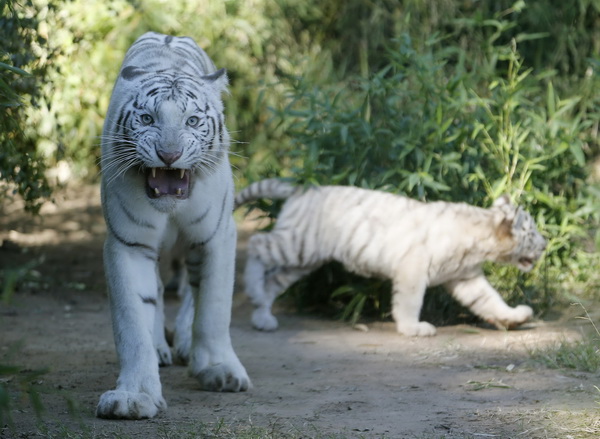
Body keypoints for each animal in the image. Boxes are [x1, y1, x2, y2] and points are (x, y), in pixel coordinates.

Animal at [98, 32, 248, 422]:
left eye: (193, 121)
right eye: (147, 118)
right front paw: (134, 397)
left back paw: (183, 344)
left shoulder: (216, 237)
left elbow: (213, 308)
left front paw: (219, 370)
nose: (169, 155)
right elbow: (133, 321)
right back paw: (161, 350)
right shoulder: (128, 243)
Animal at [237, 179, 548, 336]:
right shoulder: (414, 266)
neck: (479, 240)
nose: (546, 244)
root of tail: (301, 190)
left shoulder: (465, 277)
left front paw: (515, 317)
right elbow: (410, 300)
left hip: (304, 259)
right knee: (256, 243)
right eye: (531, 233)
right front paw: (413, 328)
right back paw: (252, 291)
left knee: (273, 280)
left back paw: (263, 316)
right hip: (297, 244)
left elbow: (490, 299)